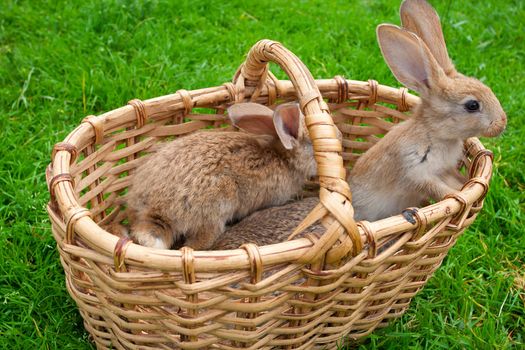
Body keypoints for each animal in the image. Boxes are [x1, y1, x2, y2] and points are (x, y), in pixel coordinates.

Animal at [348, 0, 504, 221]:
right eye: (472, 105)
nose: (502, 123)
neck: (435, 133)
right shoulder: (417, 172)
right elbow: (440, 191)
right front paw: (459, 199)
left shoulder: (444, 170)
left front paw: (466, 190)